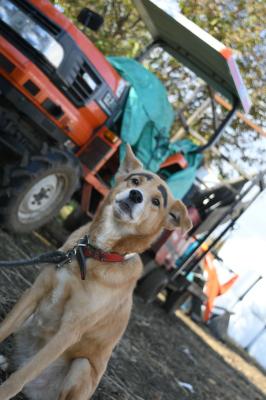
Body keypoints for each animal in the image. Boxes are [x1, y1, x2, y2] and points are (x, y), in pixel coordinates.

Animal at [0, 146, 192, 400]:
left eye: (156, 201)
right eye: (135, 181)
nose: (135, 195)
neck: (92, 253)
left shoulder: (71, 330)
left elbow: (24, 373)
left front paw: (4, 392)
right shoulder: (34, 293)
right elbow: (3, 329)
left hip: (81, 367)